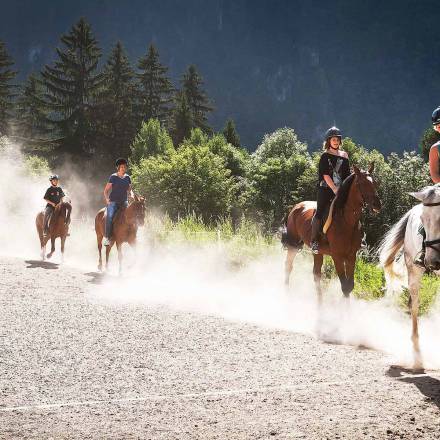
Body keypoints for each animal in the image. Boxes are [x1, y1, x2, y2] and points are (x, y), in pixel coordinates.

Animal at [282, 163, 382, 300]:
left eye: (375, 183)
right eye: (360, 183)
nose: (377, 204)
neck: (347, 221)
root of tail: (295, 208)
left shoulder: (351, 255)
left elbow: (349, 286)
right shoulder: (337, 256)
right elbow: (345, 287)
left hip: (317, 252)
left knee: (316, 274)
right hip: (293, 245)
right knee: (288, 266)